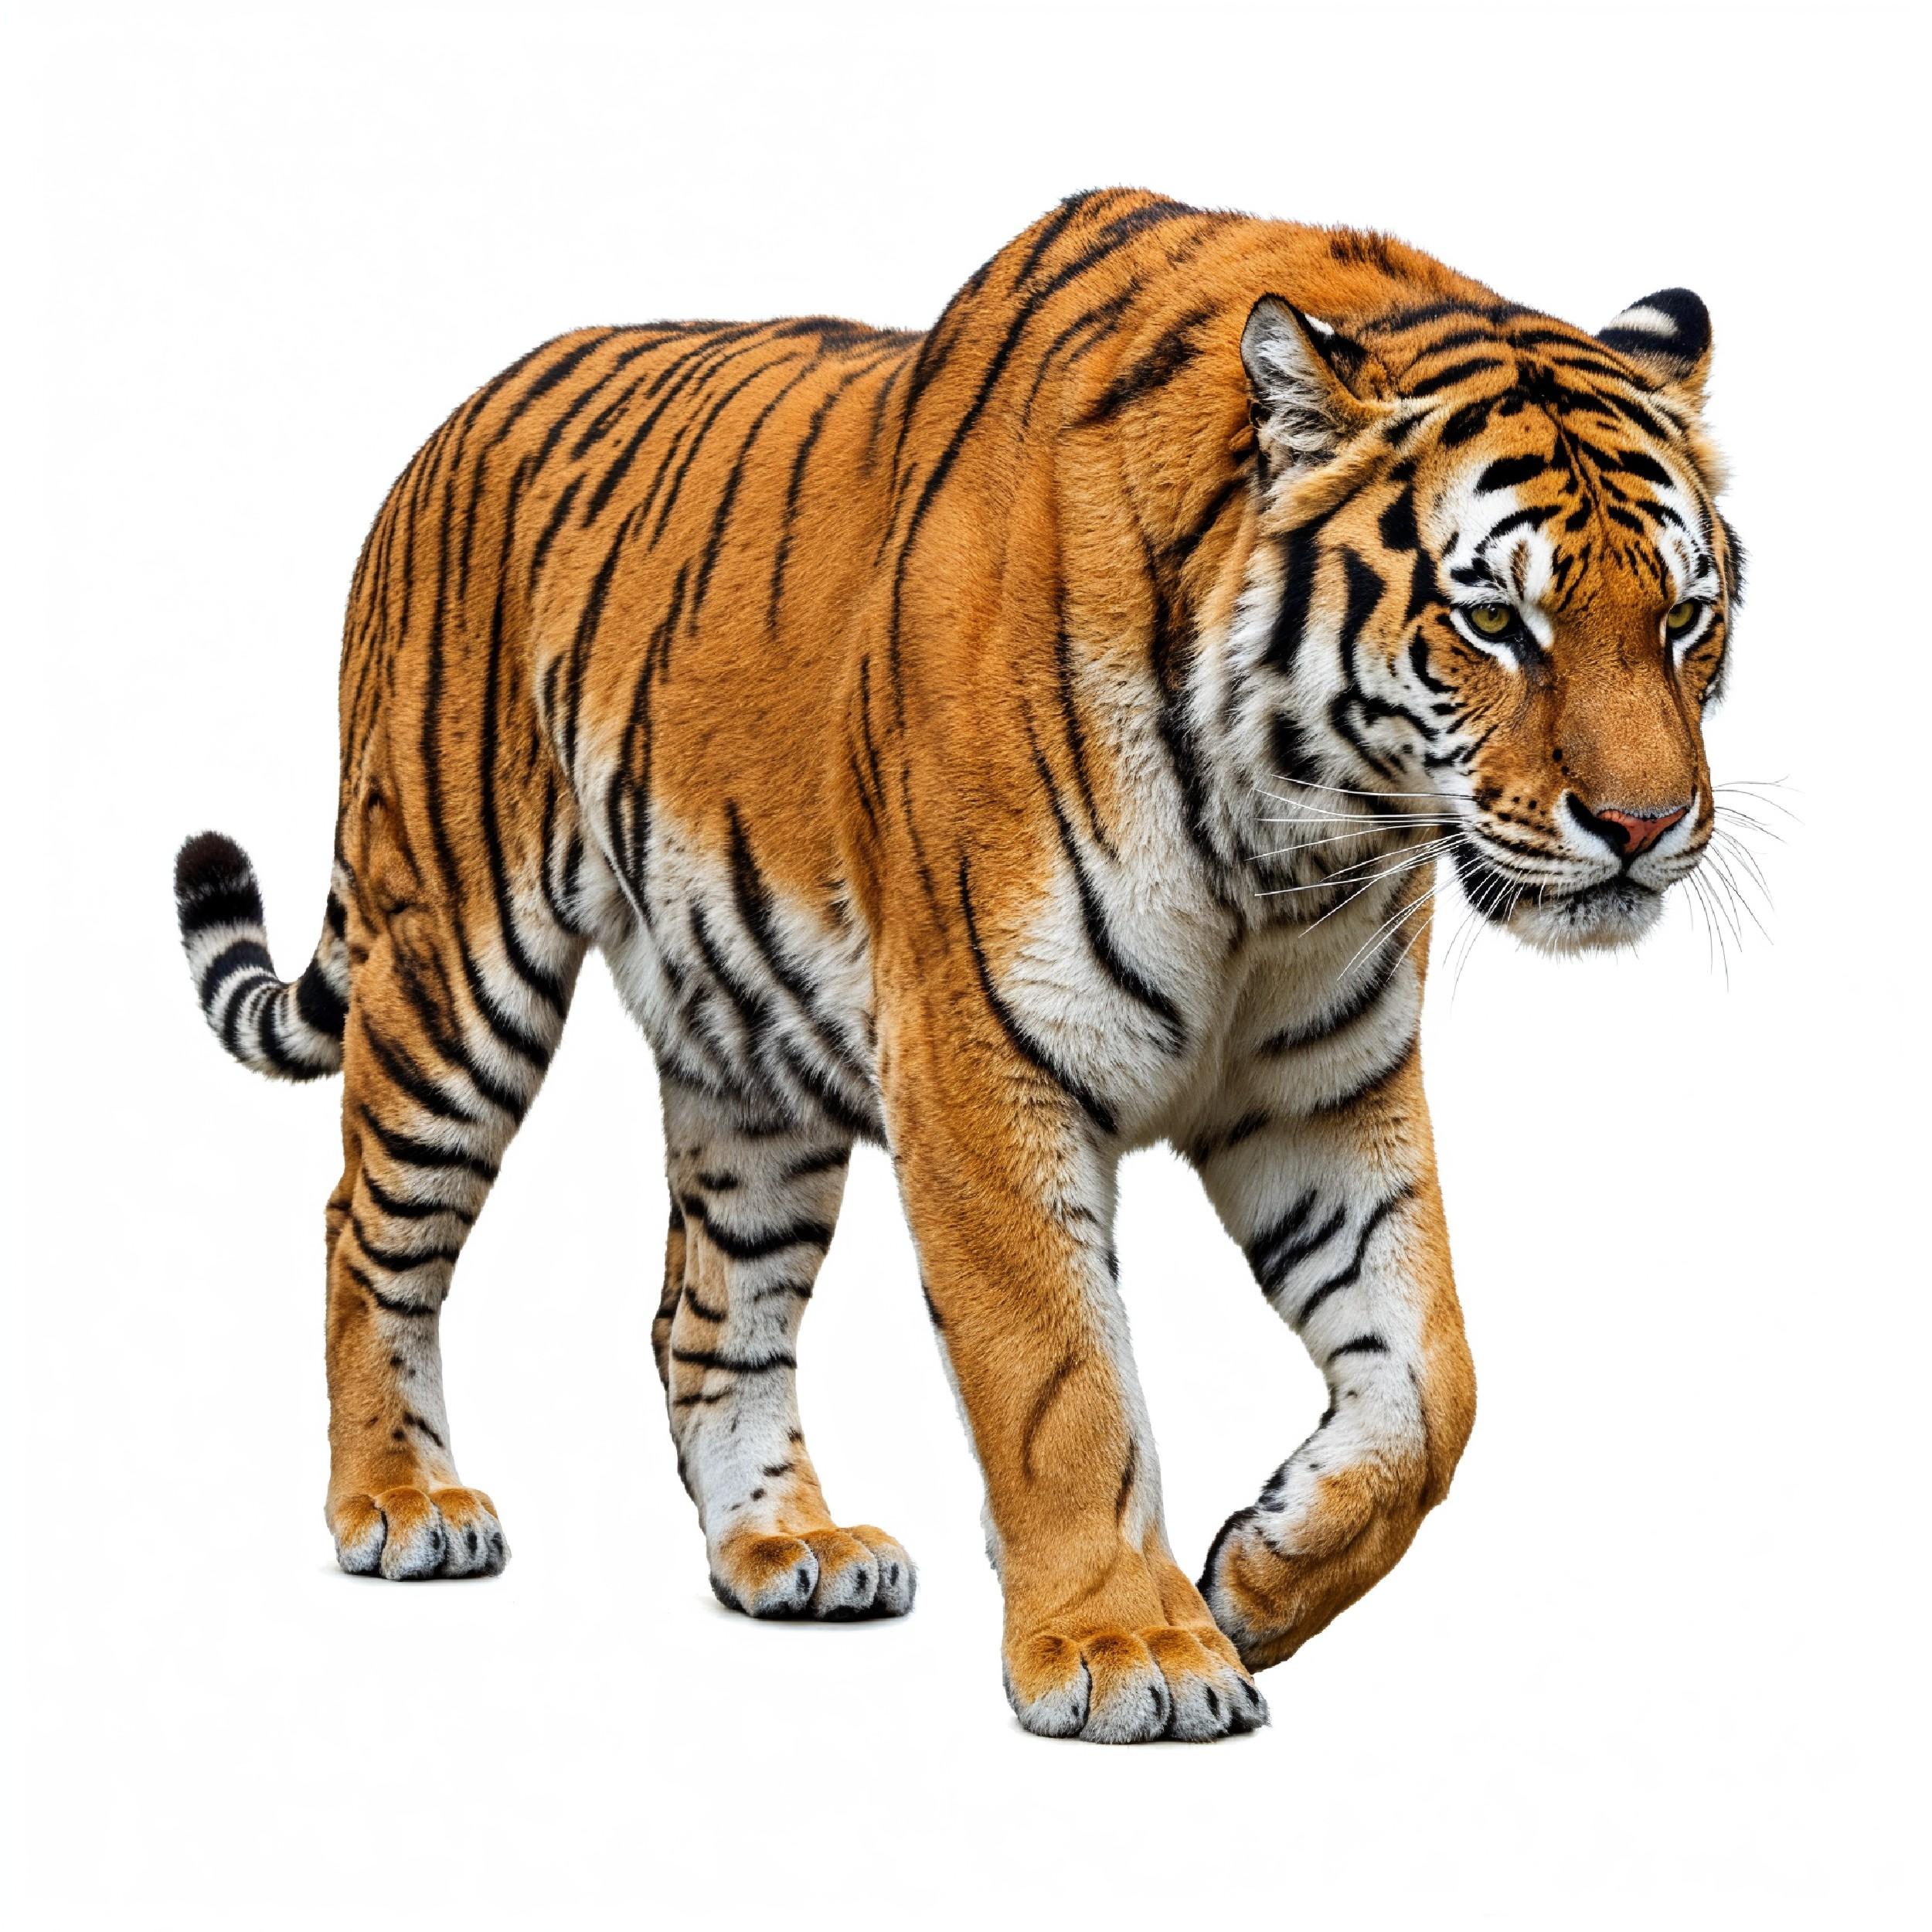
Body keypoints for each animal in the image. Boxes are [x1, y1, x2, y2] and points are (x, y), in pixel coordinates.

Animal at [174, 187, 1740, 1744]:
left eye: (1683, 617)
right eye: (1496, 623)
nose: (1646, 827)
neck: (1296, 841)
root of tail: (451, 424)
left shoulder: (1321, 1085)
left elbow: (1435, 1385)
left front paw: (1264, 1573)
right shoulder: (984, 1055)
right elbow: (1062, 1378)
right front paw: (1125, 1648)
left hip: (744, 1054)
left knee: (705, 1312)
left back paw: (789, 1546)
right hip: (452, 958)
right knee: (367, 1228)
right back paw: (402, 1504)